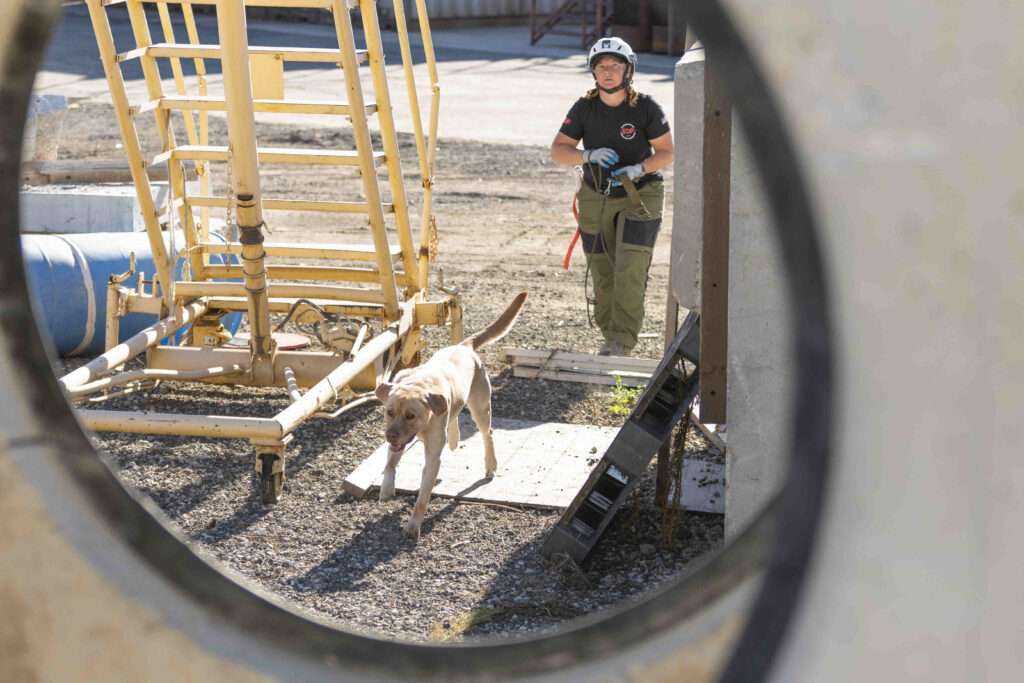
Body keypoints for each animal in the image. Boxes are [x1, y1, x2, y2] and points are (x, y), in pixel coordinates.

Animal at [380, 292, 532, 540]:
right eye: (389, 412)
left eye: (411, 415)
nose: (390, 436)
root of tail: (464, 346)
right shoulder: (398, 441)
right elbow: (390, 463)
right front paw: (386, 488)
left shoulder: (432, 457)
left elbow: (422, 498)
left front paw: (413, 525)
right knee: (453, 418)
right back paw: (453, 439)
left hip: (481, 409)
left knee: (487, 434)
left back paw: (490, 464)